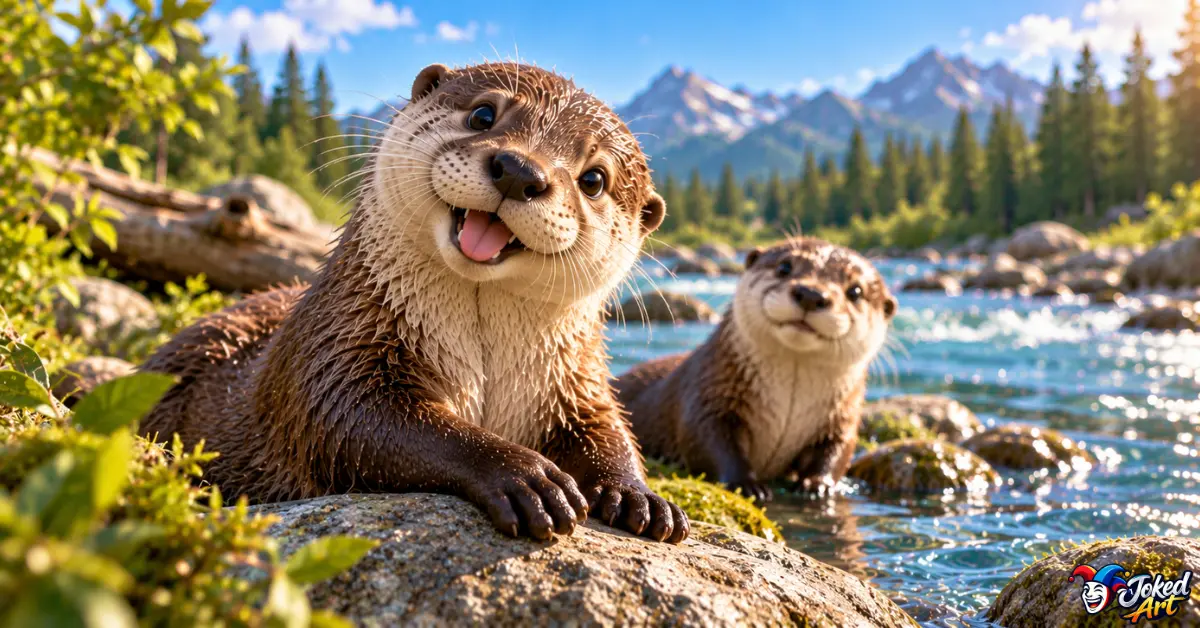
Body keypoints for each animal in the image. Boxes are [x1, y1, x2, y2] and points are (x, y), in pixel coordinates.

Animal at [139, 62, 688, 543]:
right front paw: (528, 477)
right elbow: (357, 420)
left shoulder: (574, 381)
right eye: (483, 115)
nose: (518, 169)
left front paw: (641, 497)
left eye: (594, 179)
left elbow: (606, 429)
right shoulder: (337, 349)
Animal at [615, 238, 897, 501]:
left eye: (856, 291)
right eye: (784, 267)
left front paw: (817, 485)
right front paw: (748, 485)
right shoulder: (710, 390)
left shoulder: (841, 416)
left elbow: (837, 449)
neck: (789, 408)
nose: (811, 294)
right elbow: (709, 439)